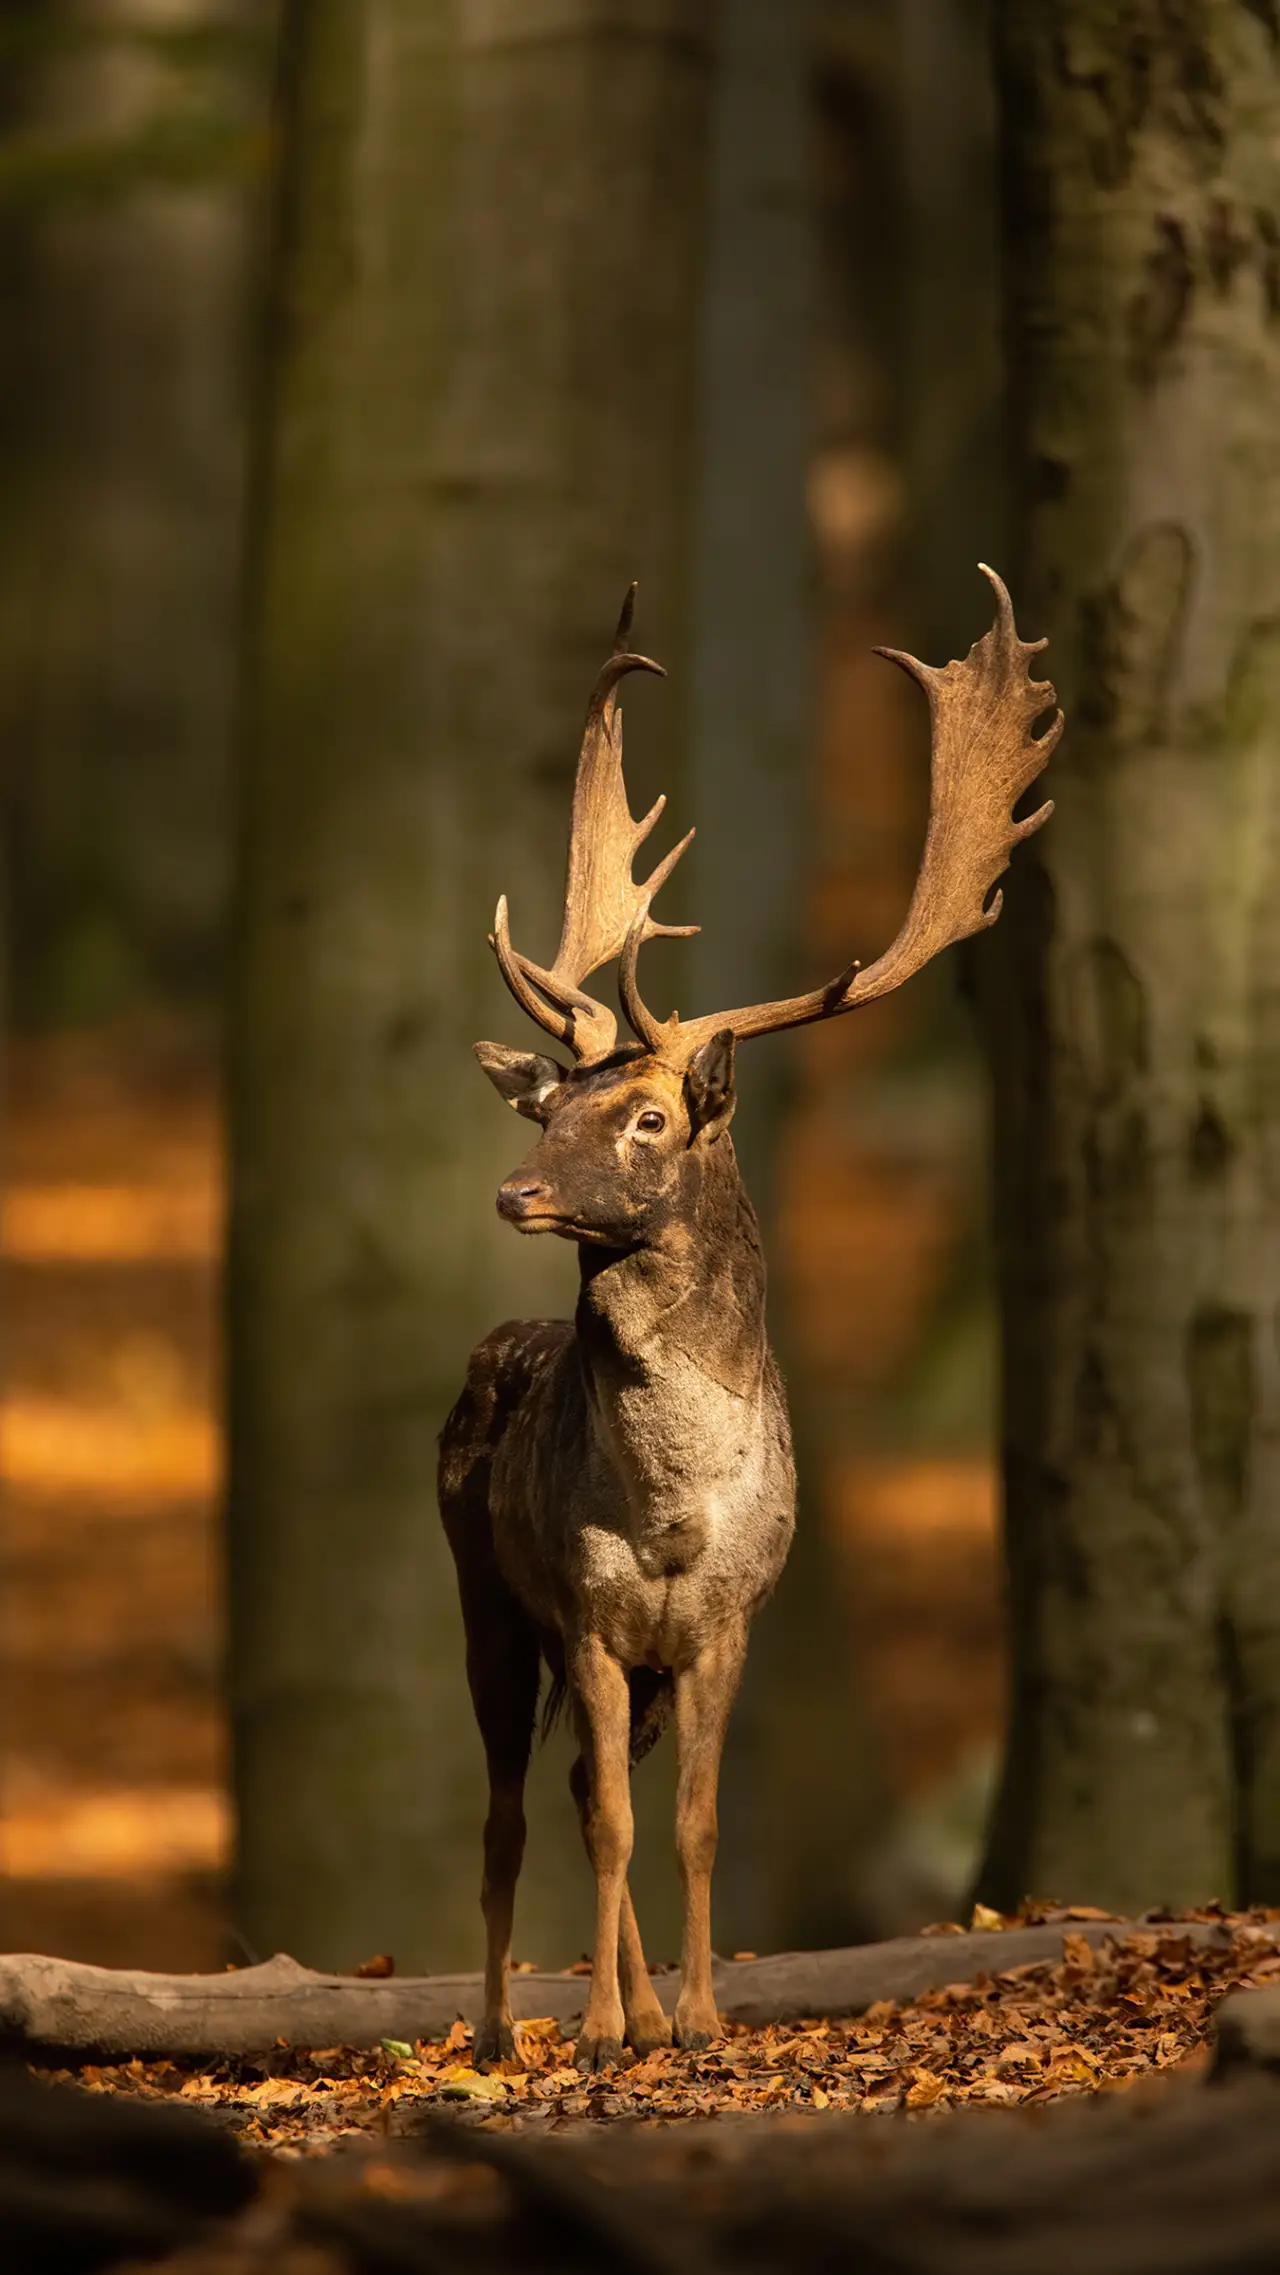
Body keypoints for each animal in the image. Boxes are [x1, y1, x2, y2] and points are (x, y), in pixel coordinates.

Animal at [439, 568, 1060, 2073]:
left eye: (649, 1118)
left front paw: (703, 2016)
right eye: (554, 1102)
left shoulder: (725, 1618)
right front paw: (604, 2028)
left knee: (581, 1785)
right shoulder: (590, 1609)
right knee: (514, 1806)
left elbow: (696, 1820)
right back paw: (500, 2027)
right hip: (484, 1590)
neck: (669, 1505)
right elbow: (608, 1820)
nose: (516, 1189)